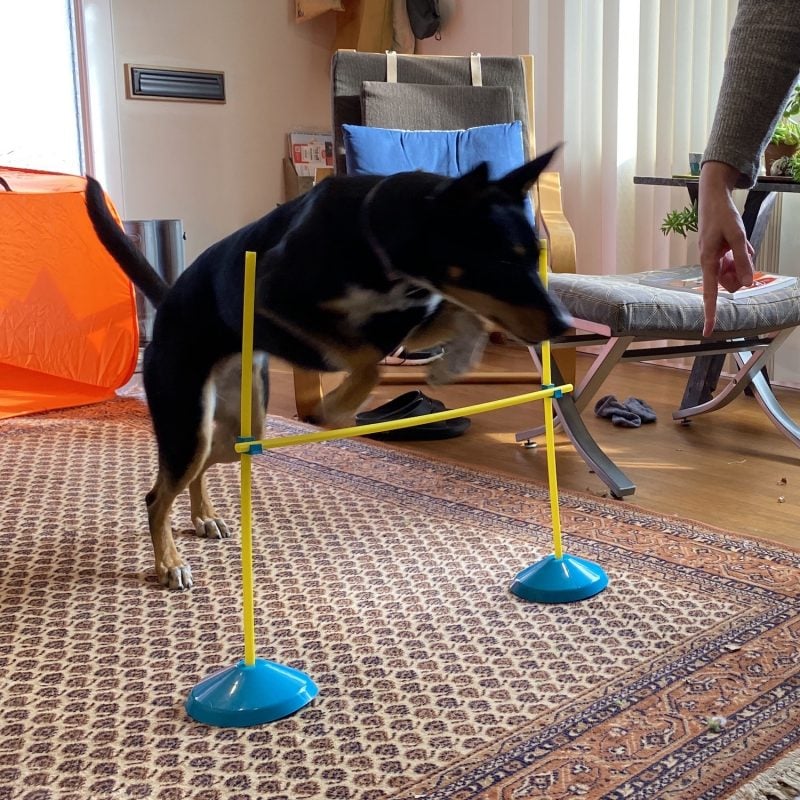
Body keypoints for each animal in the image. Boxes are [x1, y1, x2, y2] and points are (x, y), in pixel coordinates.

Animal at [87, 148, 572, 588]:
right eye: (502, 260)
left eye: (533, 256)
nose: (564, 324)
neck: (375, 236)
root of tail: (166, 304)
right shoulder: (277, 306)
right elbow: (370, 366)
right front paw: (336, 407)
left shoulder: (408, 317)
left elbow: (461, 319)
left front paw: (452, 363)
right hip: (187, 420)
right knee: (156, 496)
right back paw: (169, 563)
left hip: (235, 427)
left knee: (199, 469)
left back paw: (204, 517)